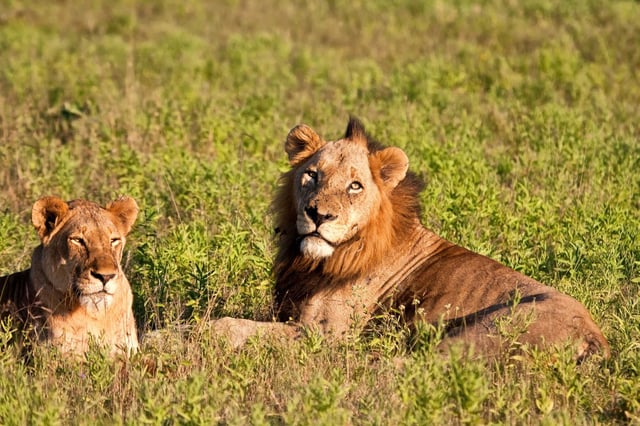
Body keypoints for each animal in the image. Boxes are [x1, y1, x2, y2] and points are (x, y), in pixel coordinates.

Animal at [214, 118, 609, 361]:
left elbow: (230, 325)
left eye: (355, 186)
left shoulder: (325, 336)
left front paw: (201, 332)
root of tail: (597, 337)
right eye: (312, 175)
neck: (318, 259)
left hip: (481, 333)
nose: (318, 215)